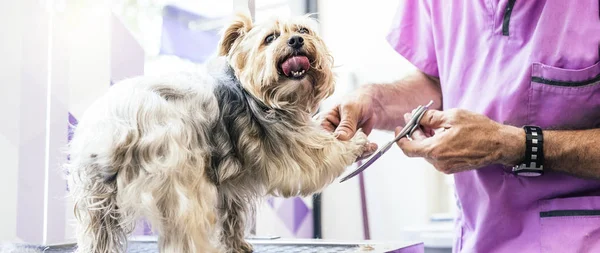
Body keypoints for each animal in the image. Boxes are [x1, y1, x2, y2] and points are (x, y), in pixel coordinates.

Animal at [64, 12, 366, 252]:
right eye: (270, 38)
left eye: (303, 30)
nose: (295, 41)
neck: (257, 94)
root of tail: (116, 125)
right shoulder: (289, 147)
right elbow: (322, 152)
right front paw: (358, 143)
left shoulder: (229, 182)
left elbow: (232, 215)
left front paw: (237, 245)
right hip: (179, 180)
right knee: (186, 231)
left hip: (97, 199)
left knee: (98, 234)